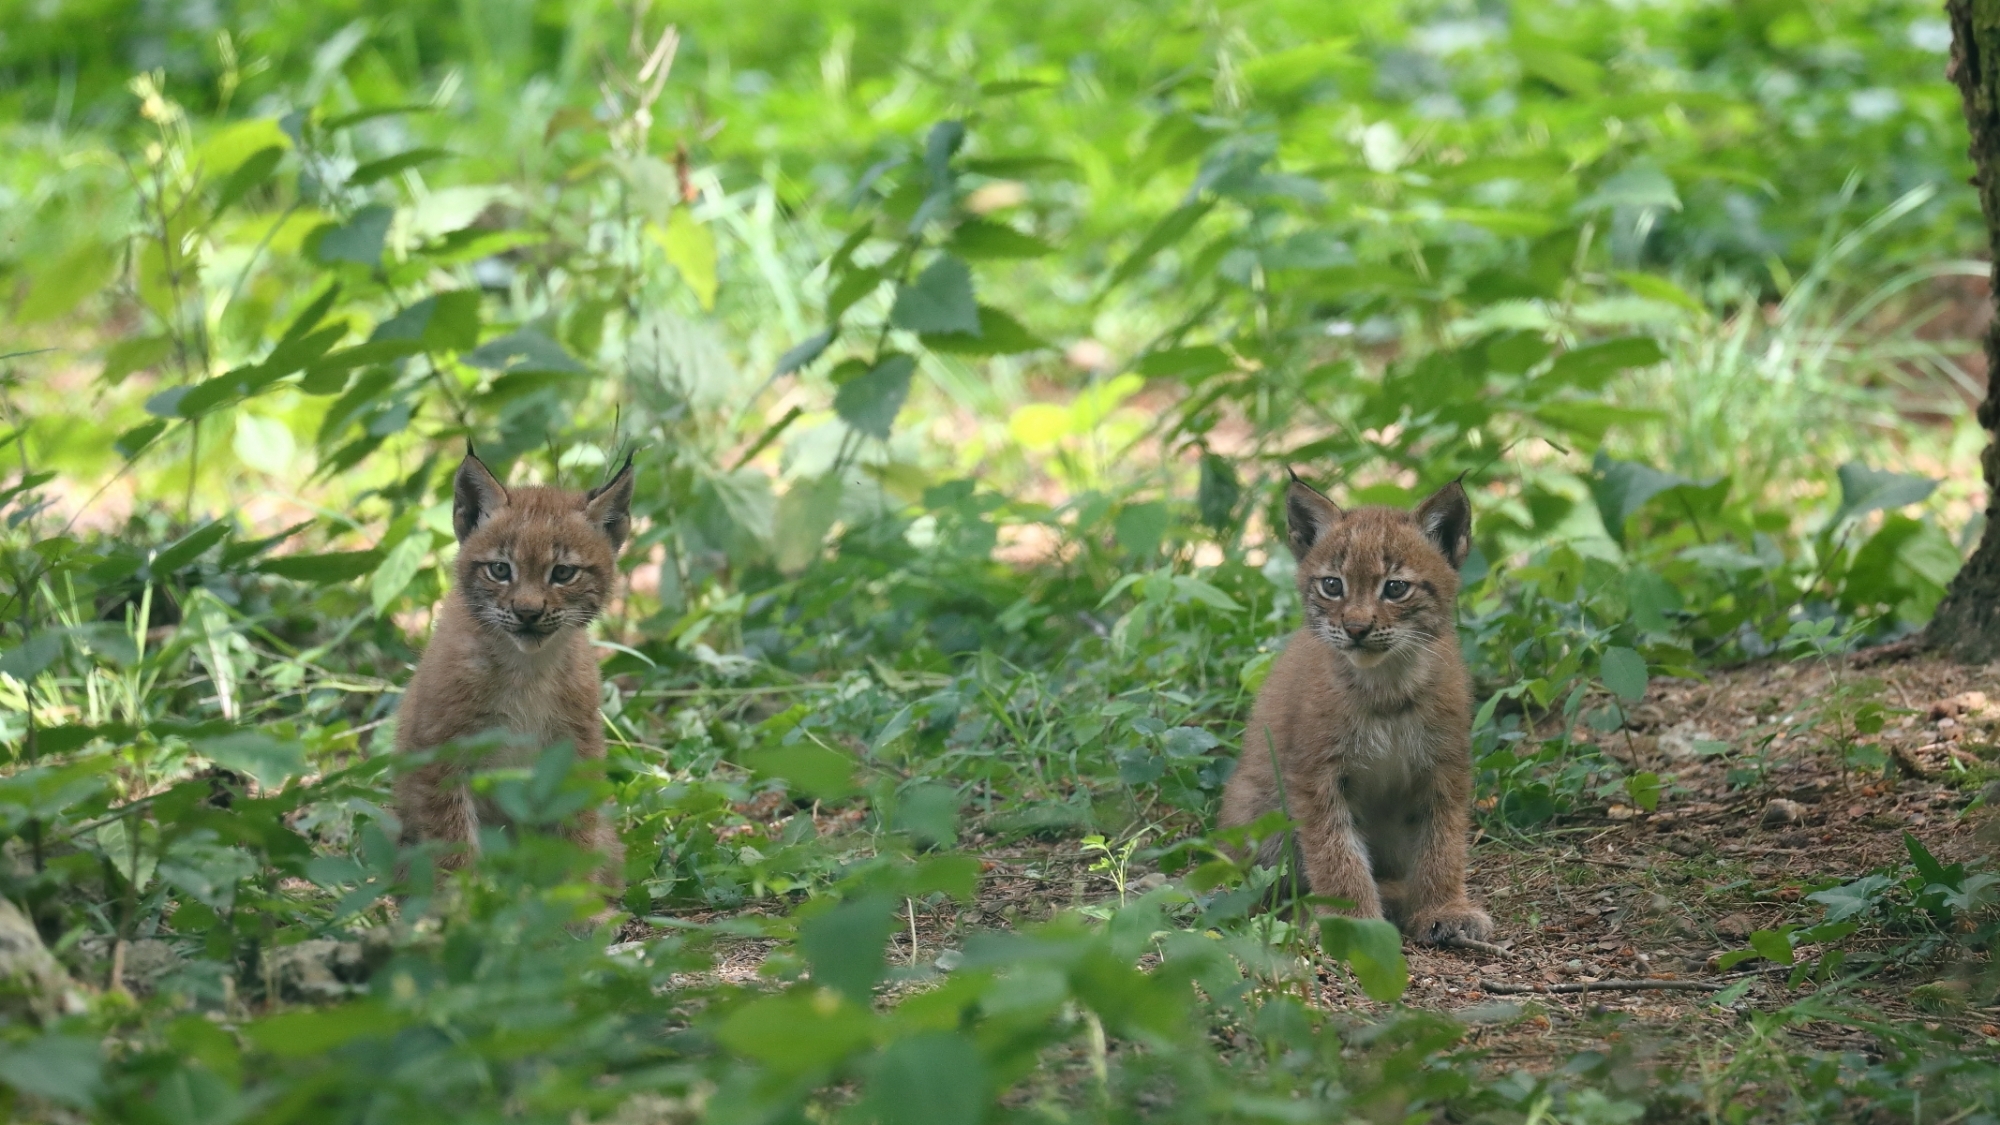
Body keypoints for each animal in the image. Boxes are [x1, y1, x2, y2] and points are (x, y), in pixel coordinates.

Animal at [390, 442, 632, 880]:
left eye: (563, 573)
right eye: (500, 569)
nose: (528, 613)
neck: (527, 668)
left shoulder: (576, 746)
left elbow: (577, 832)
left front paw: (576, 894)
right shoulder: (440, 751)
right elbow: (453, 841)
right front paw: (467, 897)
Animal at [1208, 468, 1496, 940]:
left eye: (1395, 588)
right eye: (1332, 585)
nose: (1357, 628)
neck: (1387, 684)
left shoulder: (1445, 763)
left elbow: (1443, 840)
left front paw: (1443, 907)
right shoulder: (1316, 773)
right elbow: (1334, 850)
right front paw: (1353, 925)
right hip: (1261, 810)